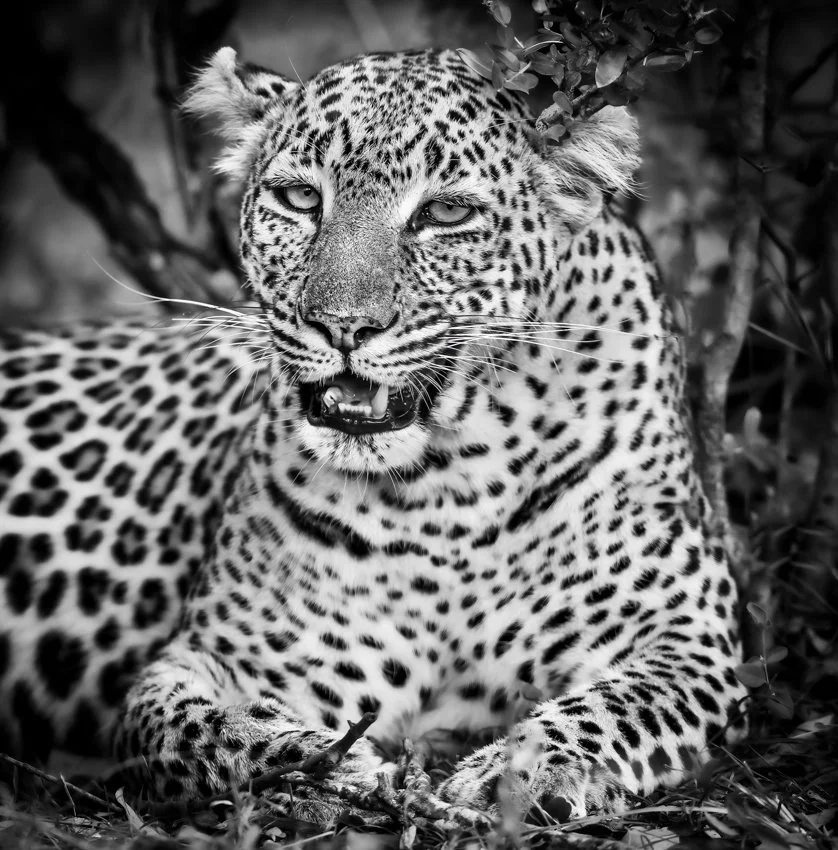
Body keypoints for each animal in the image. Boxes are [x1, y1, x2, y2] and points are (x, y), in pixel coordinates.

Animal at [0, 47, 748, 822]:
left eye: (446, 213)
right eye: (301, 199)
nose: (342, 325)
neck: (450, 484)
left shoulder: (688, 638)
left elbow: (617, 707)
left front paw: (517, 772)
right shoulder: (216, 658)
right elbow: (190, 727)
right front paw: (321, 765)